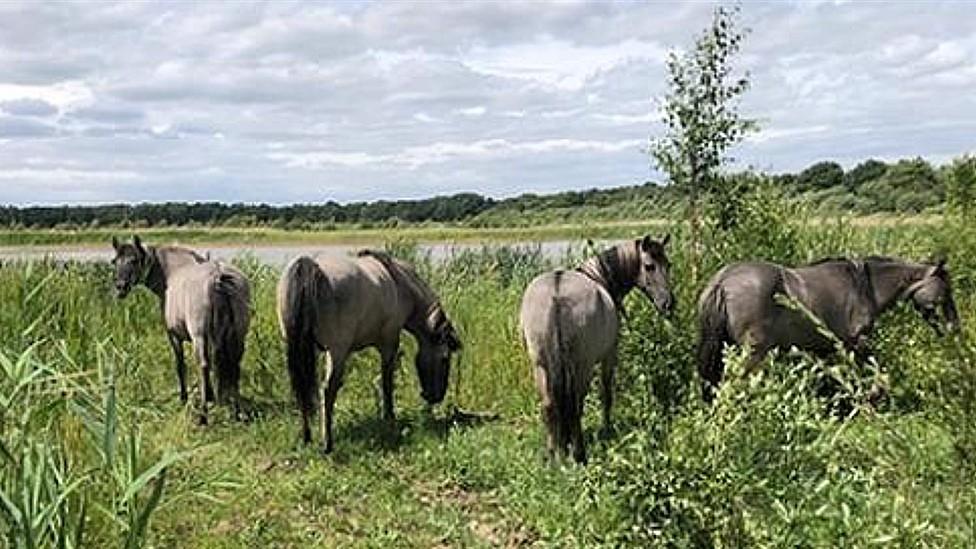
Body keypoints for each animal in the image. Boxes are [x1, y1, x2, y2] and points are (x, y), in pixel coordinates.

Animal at [110, 235, 252, 424]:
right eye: (114, 261)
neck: (172, 273)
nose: (120, 287)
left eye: (134, 260)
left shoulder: (174, 336)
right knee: (233, 364)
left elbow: (180, 365)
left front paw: (184, 398)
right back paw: (237, 411)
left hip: (199, 336)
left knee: (203, 365)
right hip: (238, 335)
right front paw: (212, 397)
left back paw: (203, 416)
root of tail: (218, 276)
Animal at [276, 249, 464, 454]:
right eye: (445, 359)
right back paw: (327, 443)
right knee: (327, 391)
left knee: (303, 388)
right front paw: (389, 417)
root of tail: (309, 266)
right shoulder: (389, 343)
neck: (400, 284)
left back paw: (307, 437)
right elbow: (387, 382)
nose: (436, 397)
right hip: (337, 352)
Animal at [524, 234, 676, 462]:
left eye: (668, 265)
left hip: (540, 366)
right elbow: (606, 394)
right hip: (583, 367)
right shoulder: (609, 357)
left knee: (549, 406)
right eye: (649, 266)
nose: (668, 303)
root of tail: (556, 292)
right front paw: (607, 428)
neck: (600, 277)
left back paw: (553, 454)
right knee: (576, 405)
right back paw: (578, 453)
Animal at [700, 255, 960, 400]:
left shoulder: (826, 350)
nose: (955, 329)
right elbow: (876, 374)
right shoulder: (858, 343)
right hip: (752, 355)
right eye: (946, 291)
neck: (864, 286)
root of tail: (723, 281)